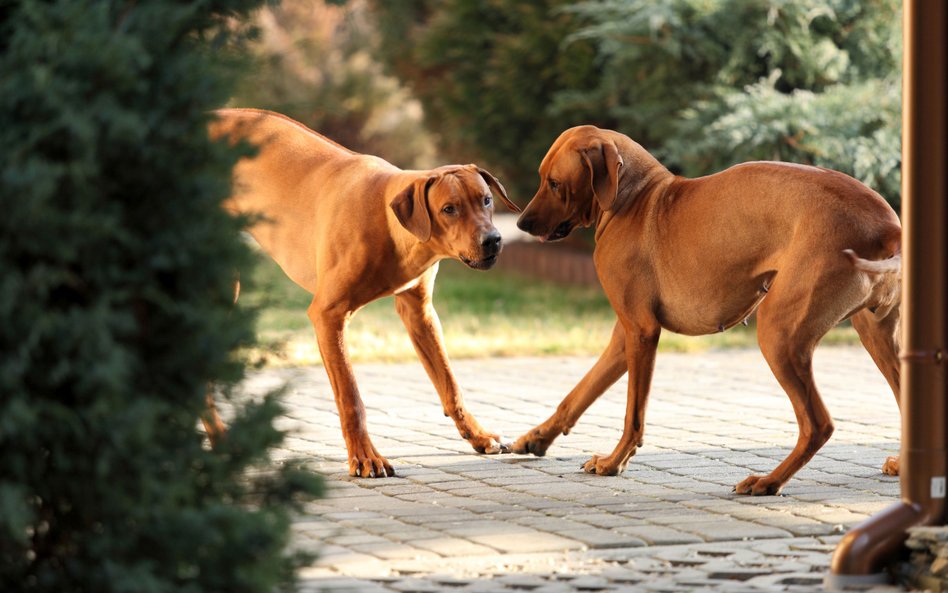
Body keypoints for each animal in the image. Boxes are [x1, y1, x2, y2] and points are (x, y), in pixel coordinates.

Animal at [207, 107, 524, 476]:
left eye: (486, 200)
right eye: (449, 209)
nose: (493, 240)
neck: (392, 227)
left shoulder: (419, 312)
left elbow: (450, 384)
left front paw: (478, 435)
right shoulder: (328, 315)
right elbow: (351, 398)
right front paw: (364, 457)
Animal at [512, 125, 904, 494]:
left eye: (555, 183)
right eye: (542, 177)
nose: (520, 223)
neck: (633, 197)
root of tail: (890, 229)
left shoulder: (642, 332)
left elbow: (633, 415)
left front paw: (614, 462)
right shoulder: (625, 337)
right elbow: (578, 394)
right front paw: (537, 437)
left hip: (779, 333)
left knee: (818, 424)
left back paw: (769, 481)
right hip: (877, 337)